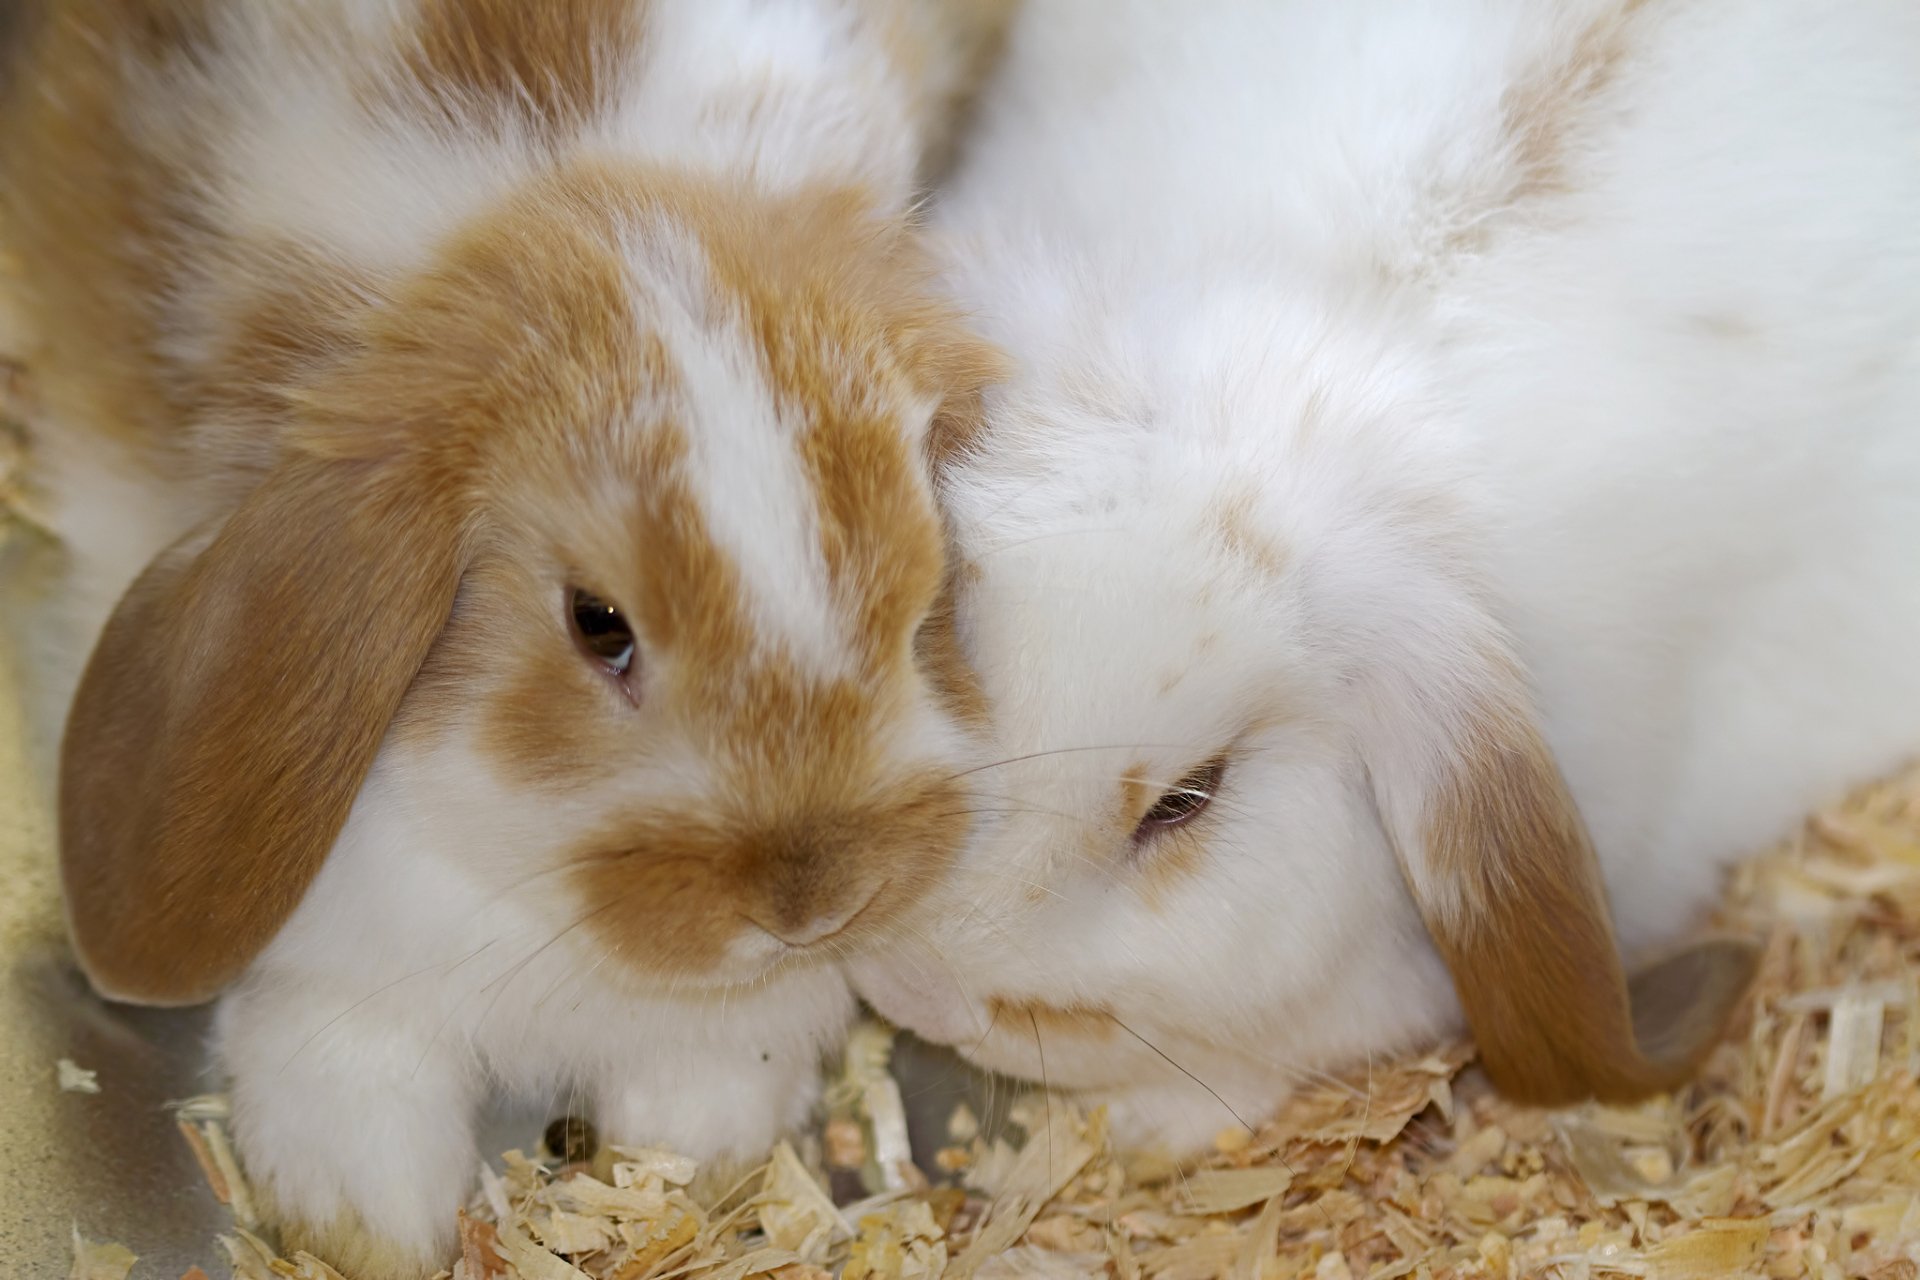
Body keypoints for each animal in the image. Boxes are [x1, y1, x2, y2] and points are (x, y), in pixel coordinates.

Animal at [0, 0, 1007, 1272]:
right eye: (598, 623)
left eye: (922, 596)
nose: (809, 902)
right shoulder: (348, 956)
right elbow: (354, 1078)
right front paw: (371, 1222)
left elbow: (710, 1087)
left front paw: (689, 1159)